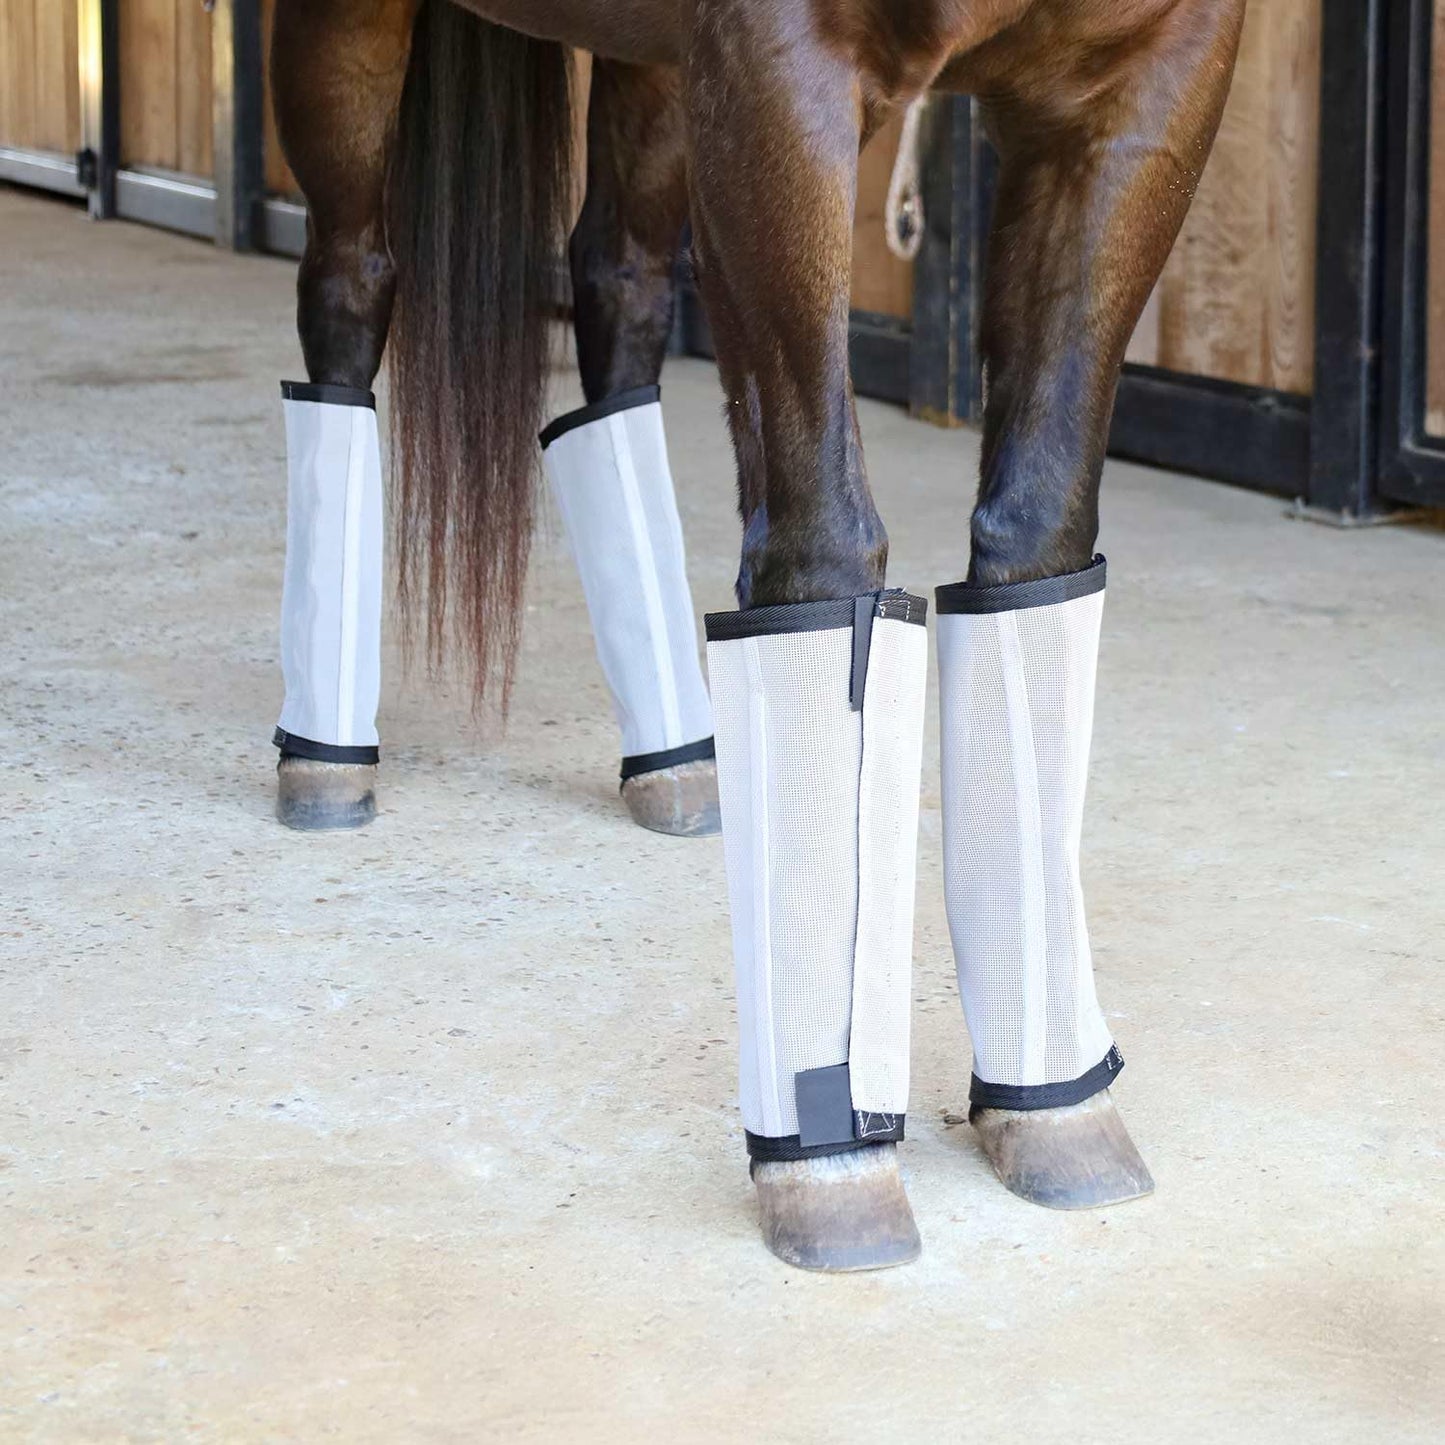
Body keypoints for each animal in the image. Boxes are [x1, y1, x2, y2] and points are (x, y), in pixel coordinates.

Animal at [267, 0, 1246, 1271]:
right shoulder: (780, 84)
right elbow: (823, 545)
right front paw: (828, 1163)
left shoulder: (1142, 88)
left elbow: (1034, 539)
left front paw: (1054, 1107)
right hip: (351, 39)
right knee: (348, 288)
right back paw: (323, 759)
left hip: (651, 81)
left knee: (617, 296)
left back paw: (678, 758)